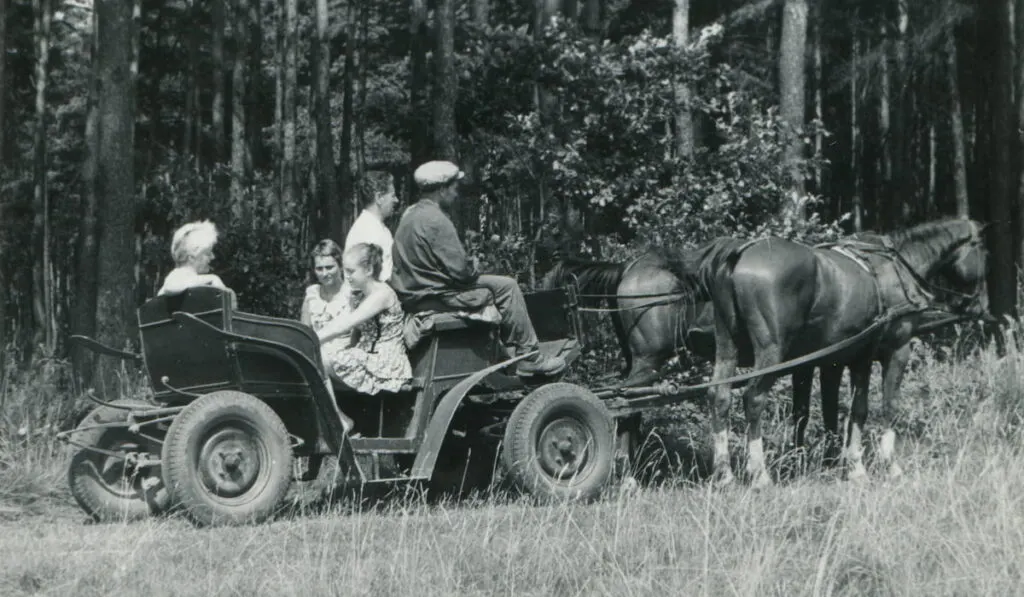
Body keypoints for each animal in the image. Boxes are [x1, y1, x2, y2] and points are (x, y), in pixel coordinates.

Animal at [692, 217, 987, 487]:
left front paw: (830, 462)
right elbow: (875, 407)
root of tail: (740, 254)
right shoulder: (890, 352)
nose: (978, 305)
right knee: (753, 398)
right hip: (771, 352)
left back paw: (725, 474)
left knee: (719, 396)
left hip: (727, 346)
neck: (897, 269)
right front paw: (874, 466)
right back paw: (759, 473)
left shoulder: (829, 361)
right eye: (982, 250)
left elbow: (823, 411)